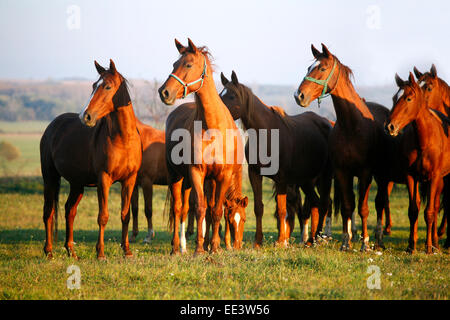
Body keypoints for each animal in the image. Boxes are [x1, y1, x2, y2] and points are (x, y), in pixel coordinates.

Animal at [41, 59, 142, 260]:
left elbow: (125, 215)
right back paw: (49, 252)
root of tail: (52, 126)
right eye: (94, 85)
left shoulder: (129, 180)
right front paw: (100, 253)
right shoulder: (103, 180)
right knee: (48, 212)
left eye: (107, 86)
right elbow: (103, 216)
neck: (123, 139)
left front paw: (127, 251)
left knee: (69, 211)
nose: (85, 116)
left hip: (77, 184)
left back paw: (71, 251)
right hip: (50, 178)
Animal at [156, 38, 244, 255]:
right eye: (174, 64)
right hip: (176, 176)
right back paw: (176, 248)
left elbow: (216, 210)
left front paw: (215, 247)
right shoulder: (197, 172)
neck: (213, 127)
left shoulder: (222, 176)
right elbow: (200, 209)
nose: (164, 92)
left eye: (188, 65)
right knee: (178, 208)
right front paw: (199, 248)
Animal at [220, 70, 332, 246]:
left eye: (231, 96)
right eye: (220, 94)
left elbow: (281, 210)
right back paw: (310, 240)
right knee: (315, 204)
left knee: (324, 204)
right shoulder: (255, 174)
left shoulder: (282, 180)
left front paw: (281, 242)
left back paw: (318, 238)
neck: (266, 134)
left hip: (323, 178)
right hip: (306, 181)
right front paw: (258, 242)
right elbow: (258, 207)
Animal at [294, 43, 410, 251]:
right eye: (309, 68)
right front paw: (345, 242)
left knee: (380, 203)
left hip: (382, 176)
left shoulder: (365, 173)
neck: (351, 125)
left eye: (322, 68)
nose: (299, 95)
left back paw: (378, 239)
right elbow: (348, 206)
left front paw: (364, 243)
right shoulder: (342, 172)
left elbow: (364, 208)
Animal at [386, 72, 450, 252]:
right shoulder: (411, 176)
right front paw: (411, 246)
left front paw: (428, 247)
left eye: (408, 98)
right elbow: (413, 210)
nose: (390, 126)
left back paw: (435, 243)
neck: (424, 140)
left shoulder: (434, 177)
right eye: (394, 98)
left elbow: (429, 212)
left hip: (441, 179)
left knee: (436, 206)